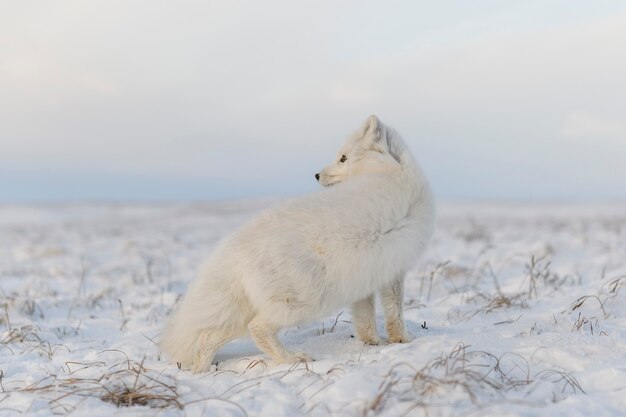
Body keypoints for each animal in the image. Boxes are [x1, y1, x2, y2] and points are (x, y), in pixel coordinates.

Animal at [161, 114, 434, 370]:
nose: (316, 175)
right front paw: (403, 341)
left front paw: (372, 343)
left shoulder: (369, 275)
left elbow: (365, 317)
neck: (388, 171)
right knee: (257, 328)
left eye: (343, 158)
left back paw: (201, 369)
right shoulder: (394, 268)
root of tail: (233, 250)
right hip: (302, 301)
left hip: (247, 308)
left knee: (209, 337)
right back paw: (292, 358)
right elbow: (395, 311)